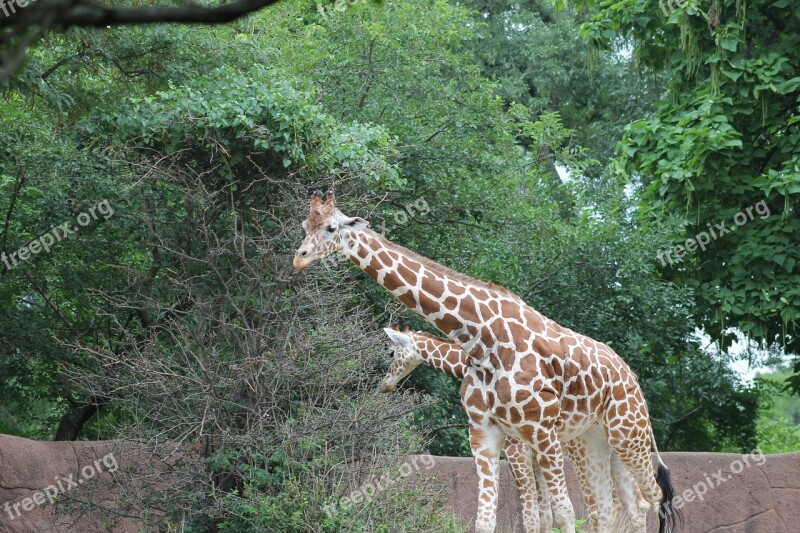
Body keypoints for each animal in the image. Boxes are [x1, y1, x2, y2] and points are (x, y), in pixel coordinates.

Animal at [376, 324, 648, 532]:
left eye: (390, 352)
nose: (384, 385)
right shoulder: (535, 457)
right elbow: (544, 516)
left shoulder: (516, 450)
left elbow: (532, 516)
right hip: (615, 448)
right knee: (635, 505)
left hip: (581, 451)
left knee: (601, 507)